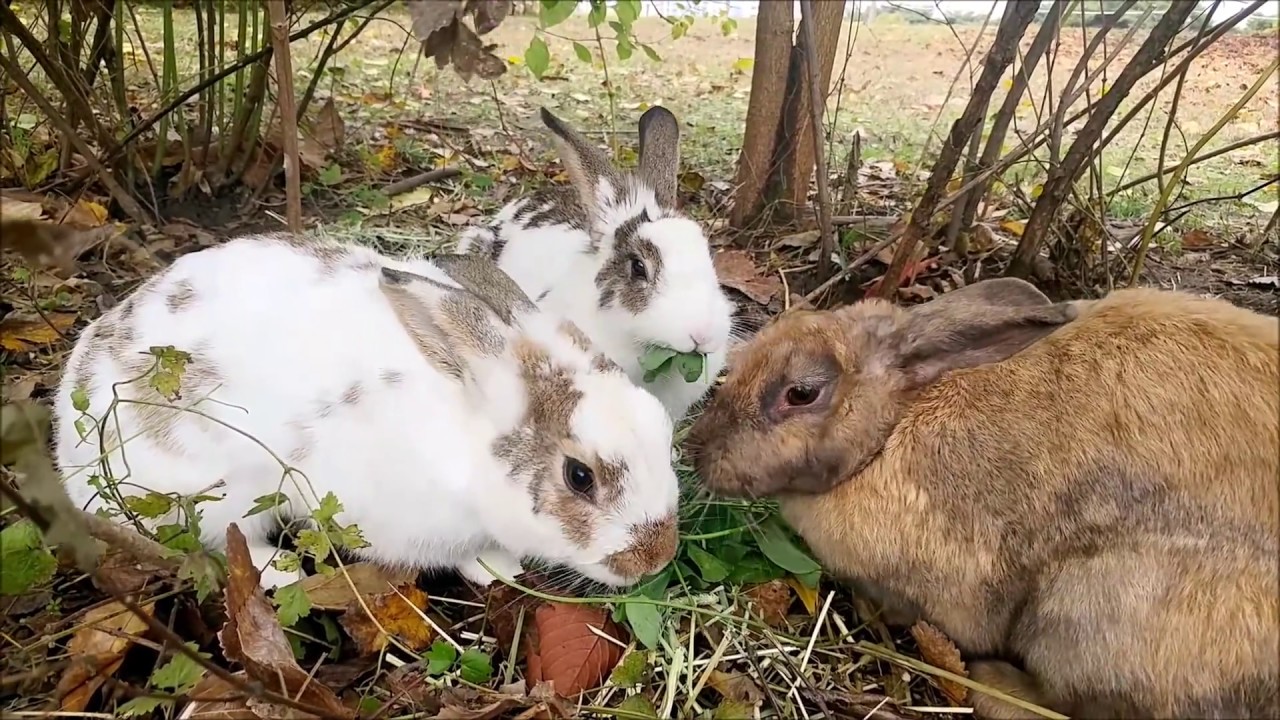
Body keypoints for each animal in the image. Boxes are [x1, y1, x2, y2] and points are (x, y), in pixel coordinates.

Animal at [53, 232, 681, 591]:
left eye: (662, 427)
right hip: (212, 489)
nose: (657, 557)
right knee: (222, 538)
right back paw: (278, 570)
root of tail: (68, 443)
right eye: (579, 476)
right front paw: (495, 567)